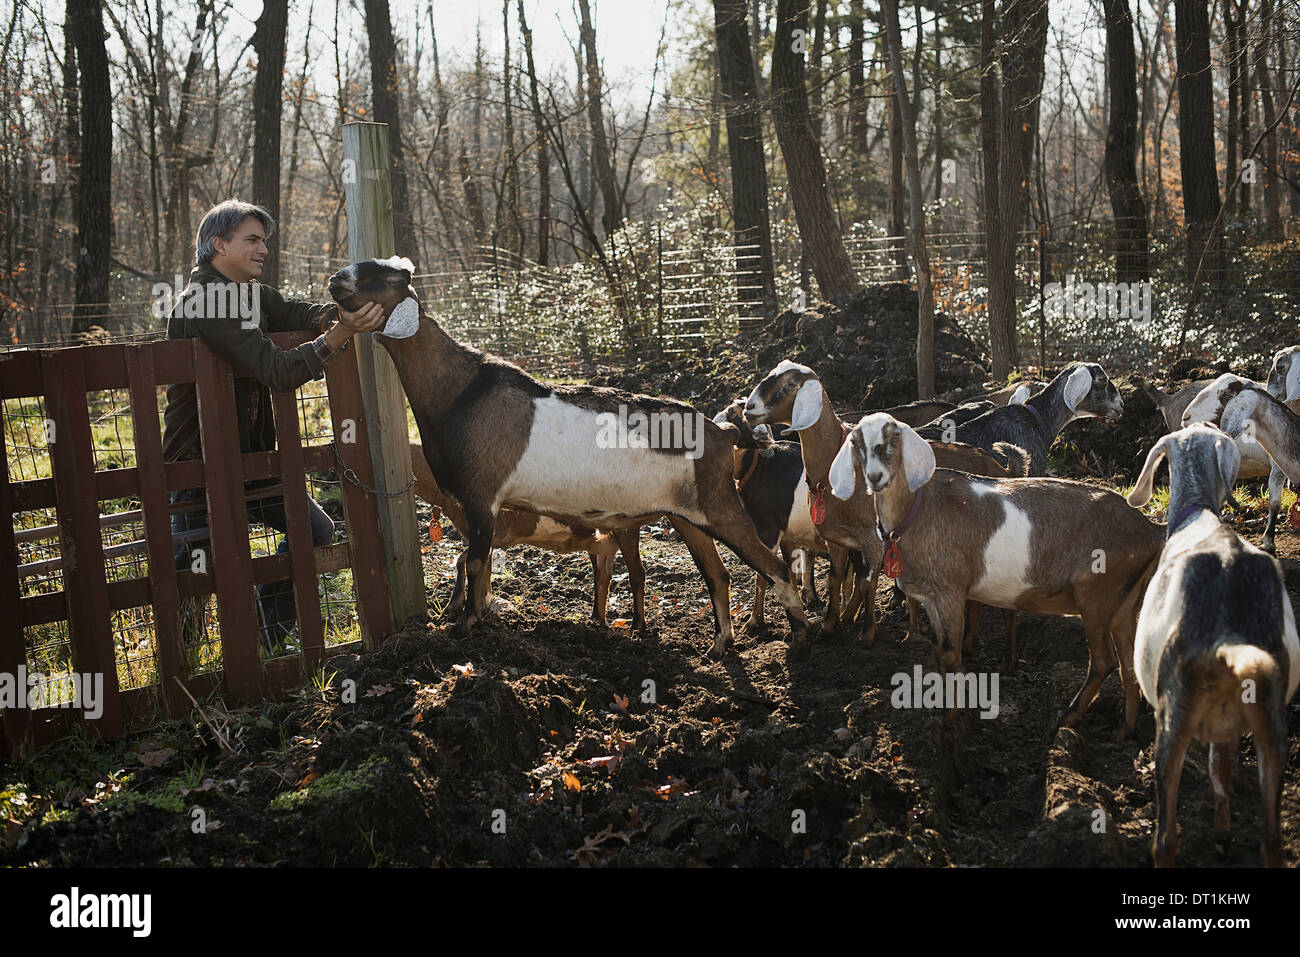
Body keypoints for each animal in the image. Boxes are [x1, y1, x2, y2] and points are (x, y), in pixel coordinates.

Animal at [826, 416, 1164, 738]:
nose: (876, 477)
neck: (918, 510)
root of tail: (1149, 529)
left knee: (1104, 661)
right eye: (856, 442)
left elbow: (950, 652)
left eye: (894, 438)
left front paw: (953, 720)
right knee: (1128, 663)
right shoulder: (932, 598)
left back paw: (1067, 718)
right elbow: (937, 649)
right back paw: (1124, 731)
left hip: (1096, 594)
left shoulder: (951, 592)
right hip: (1124, 602)